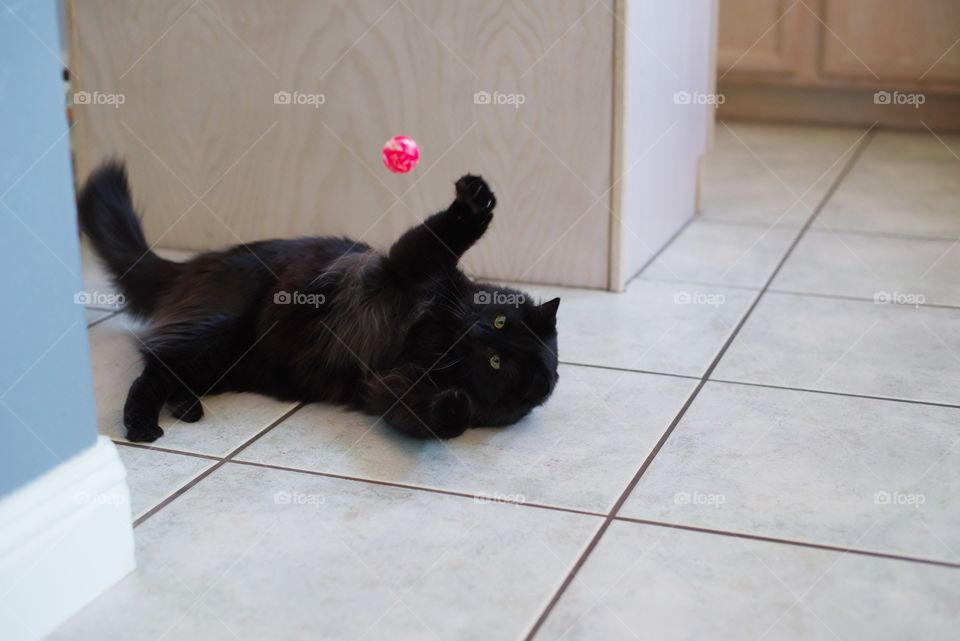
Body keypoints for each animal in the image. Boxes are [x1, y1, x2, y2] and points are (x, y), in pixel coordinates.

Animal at [82, 161, 564, 440]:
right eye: (500, 321)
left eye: (495, 362)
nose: (477, 330)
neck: (435, 337)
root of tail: (190, 264)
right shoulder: (401, 272)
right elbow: (441, 237)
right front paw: (475, 202)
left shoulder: (392, 385)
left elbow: (436, 419)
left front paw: (455, 406)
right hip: (217, 330)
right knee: (153, 365)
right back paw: (142, 424)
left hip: (225, 361)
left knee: (165, 368)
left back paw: (180, 408)